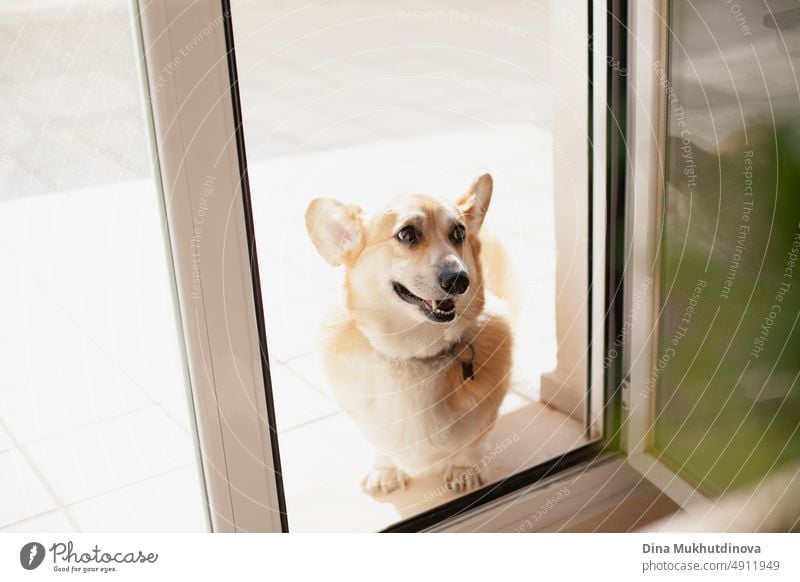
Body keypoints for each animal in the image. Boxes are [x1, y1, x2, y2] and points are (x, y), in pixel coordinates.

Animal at [306, 175, 512, 498]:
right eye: (406, 234)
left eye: (459, 233)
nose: (459, 280)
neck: (414, 352)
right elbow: (381, 443)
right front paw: (385, 470)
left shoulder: (485, 414)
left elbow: (471, 444)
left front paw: (462, 471)